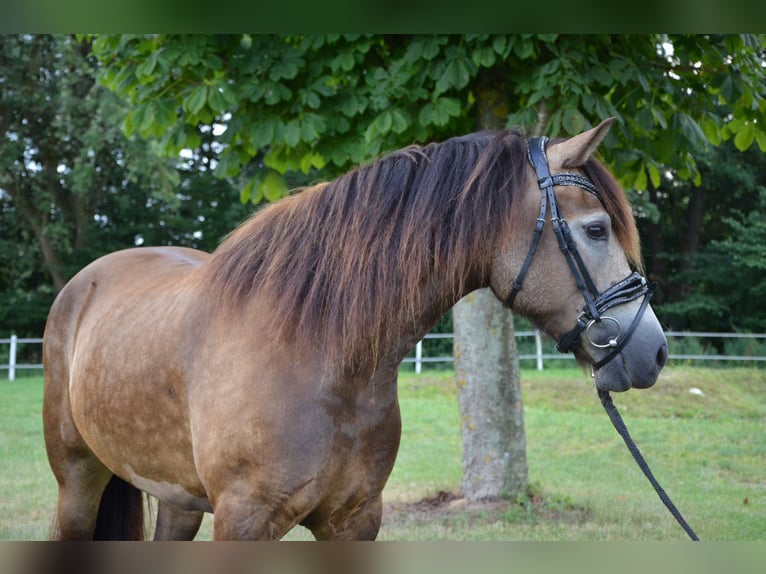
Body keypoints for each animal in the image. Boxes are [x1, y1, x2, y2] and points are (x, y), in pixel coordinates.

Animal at [42, 118, 668, 540]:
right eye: (595, 230)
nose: (654, 351)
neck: (320, 354)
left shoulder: (355, 518)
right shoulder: (244, 520)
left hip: (178, 497)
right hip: (78, 482)